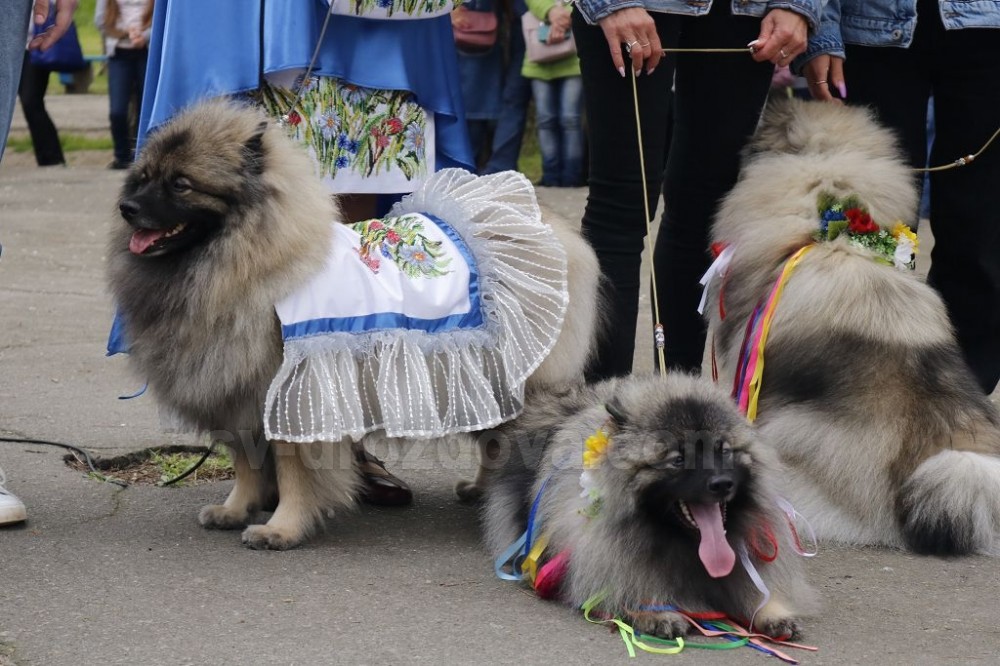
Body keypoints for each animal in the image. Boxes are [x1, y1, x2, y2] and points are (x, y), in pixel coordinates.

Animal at [107, 97, 600, 544]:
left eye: (181, 185)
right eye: (144, 178)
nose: (127, 206)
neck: (252, 258)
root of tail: (545, 223)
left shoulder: (292, 397)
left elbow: (294, 471)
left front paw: (281, 528)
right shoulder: (238, 397)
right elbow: (246, 463)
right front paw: (235, 509)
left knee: (510, 441)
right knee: (493, 441)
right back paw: (481, 490)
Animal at [480, 374, 816, 640]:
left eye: (723, 450)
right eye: (678, 459)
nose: (721, 483)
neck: (686, 545)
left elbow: (755, 592)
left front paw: (773, 612)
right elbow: (626, 588)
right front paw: (656, 612)